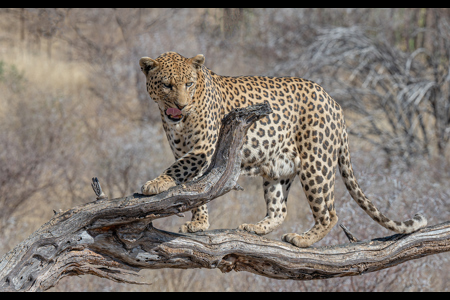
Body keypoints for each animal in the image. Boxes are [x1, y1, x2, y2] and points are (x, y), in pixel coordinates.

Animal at [139, 51, 428, 247]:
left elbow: (182, 171)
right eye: (166, 85)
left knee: (330, 213)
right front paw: (199, 222)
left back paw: (303, 239)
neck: (176, 120)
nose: (181, 105)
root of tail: (334, 102)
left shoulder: (204, 150)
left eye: (189, 83)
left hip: (316, 164)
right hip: (279, 168)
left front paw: (156, 184)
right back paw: (256, 228)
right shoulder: (188, 152)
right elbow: (196, 189)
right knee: (280, 209)